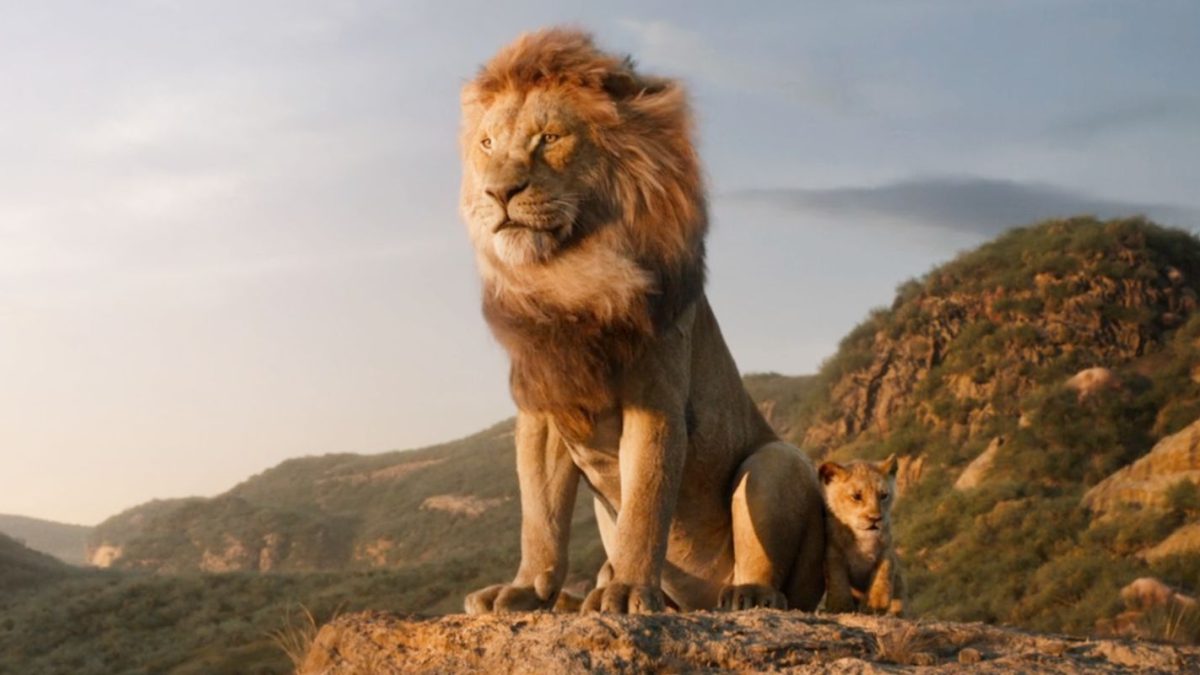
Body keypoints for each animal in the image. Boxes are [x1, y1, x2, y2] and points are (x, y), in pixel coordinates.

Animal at [457, 28, 826, 615]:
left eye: (549, 137)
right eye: (488, 144)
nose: (498, 192)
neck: (569, 278)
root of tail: (697, 601)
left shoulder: (655, 401)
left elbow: (645, 505)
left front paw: (629, 591)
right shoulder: (542, 408)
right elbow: (540, 517)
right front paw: (525, 589)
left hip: (778, 461)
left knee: (770, 561)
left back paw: (745, 594)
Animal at [818, 455, 904, 615]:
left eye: (884, 496)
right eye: (856, 496)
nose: (875, 518)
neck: (862, 538)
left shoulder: (886, 550)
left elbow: (882, 575)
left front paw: (875, 606)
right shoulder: (833, 552)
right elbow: (838, 579)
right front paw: (840, 606)